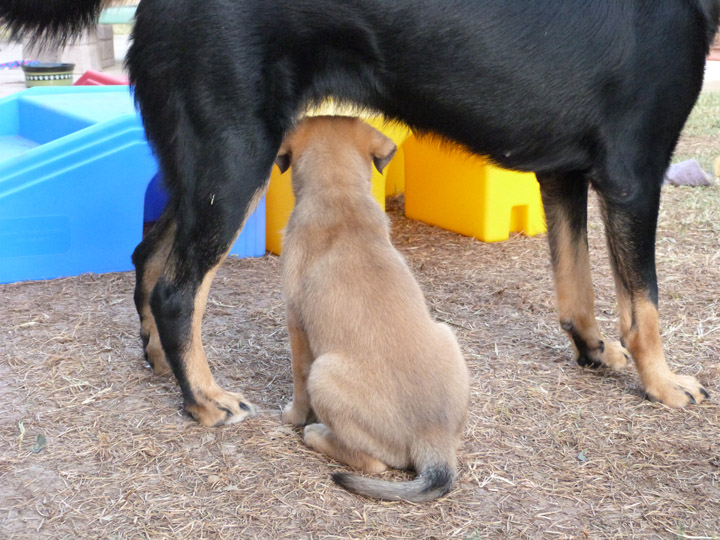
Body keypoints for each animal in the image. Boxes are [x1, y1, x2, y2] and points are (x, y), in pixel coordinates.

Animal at [4, 0, 716, 424]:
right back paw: (204, 400)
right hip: (234, 158)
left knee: (149, 256)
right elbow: (644, 305)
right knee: (179, 288)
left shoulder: (562, 172)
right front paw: (662, 383)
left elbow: (578, 286)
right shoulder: (632, 176)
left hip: (202, 164)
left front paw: (592, 352)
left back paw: (163, 366)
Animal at [278, 115, 472, 502]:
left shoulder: (297, 324)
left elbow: (297, 379)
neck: (340, 194)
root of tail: (433, 440)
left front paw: (293, 415)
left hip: (324, 374)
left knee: (372, 463)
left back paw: (316, 434)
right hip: (447, 334)